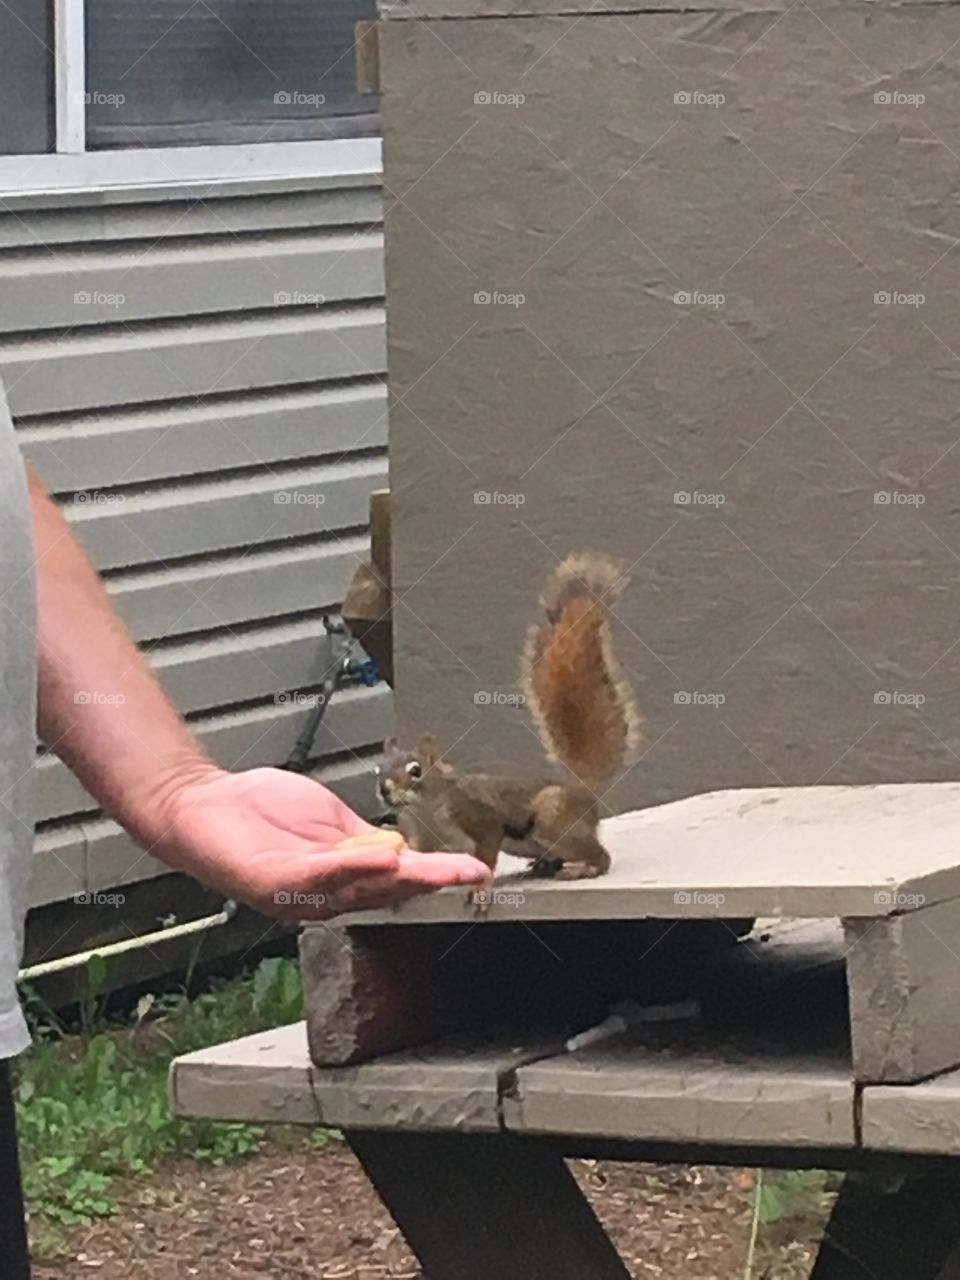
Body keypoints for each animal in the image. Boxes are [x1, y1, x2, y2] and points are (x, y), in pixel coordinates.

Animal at [377, 552, 642, 886]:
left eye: (415, 770)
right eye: (377, 769)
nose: (384, 790)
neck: (423, 811)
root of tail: (584, 793)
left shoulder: (479, 817)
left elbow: (487, 851)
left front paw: (481, 887)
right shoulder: (422, 840)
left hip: (552, 818)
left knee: (601, 856)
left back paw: (582, 867)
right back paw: (543, 865)